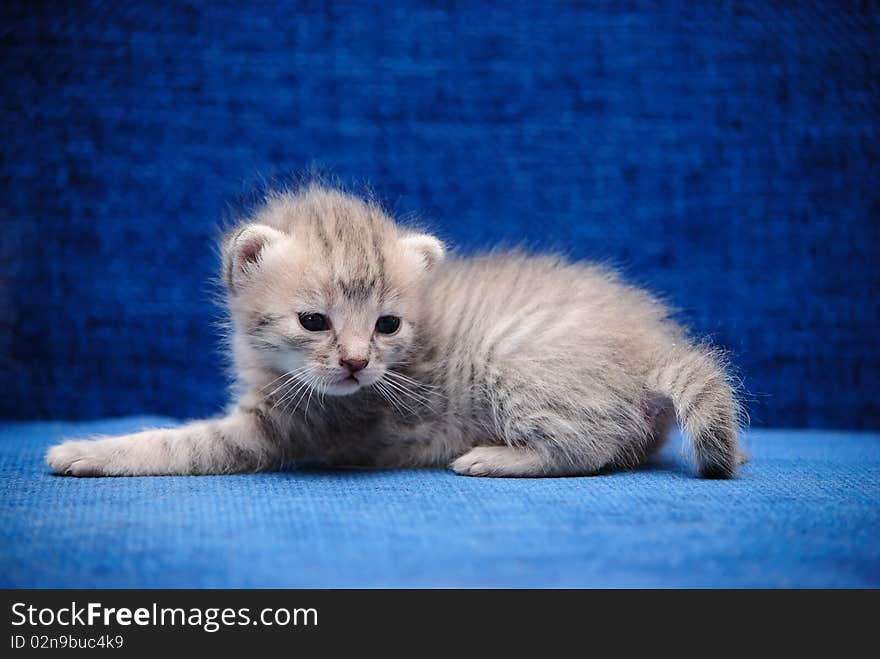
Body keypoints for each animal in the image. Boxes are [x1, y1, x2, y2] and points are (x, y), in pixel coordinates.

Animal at [46, 186, 744, 480]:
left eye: (387, 325)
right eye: (314, 321)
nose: (356, 363)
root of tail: (654, 344)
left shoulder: (284, 429)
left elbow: (178, 444)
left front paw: (87, 452)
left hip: (517, 363)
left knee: (586, 447)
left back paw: (496, 458)